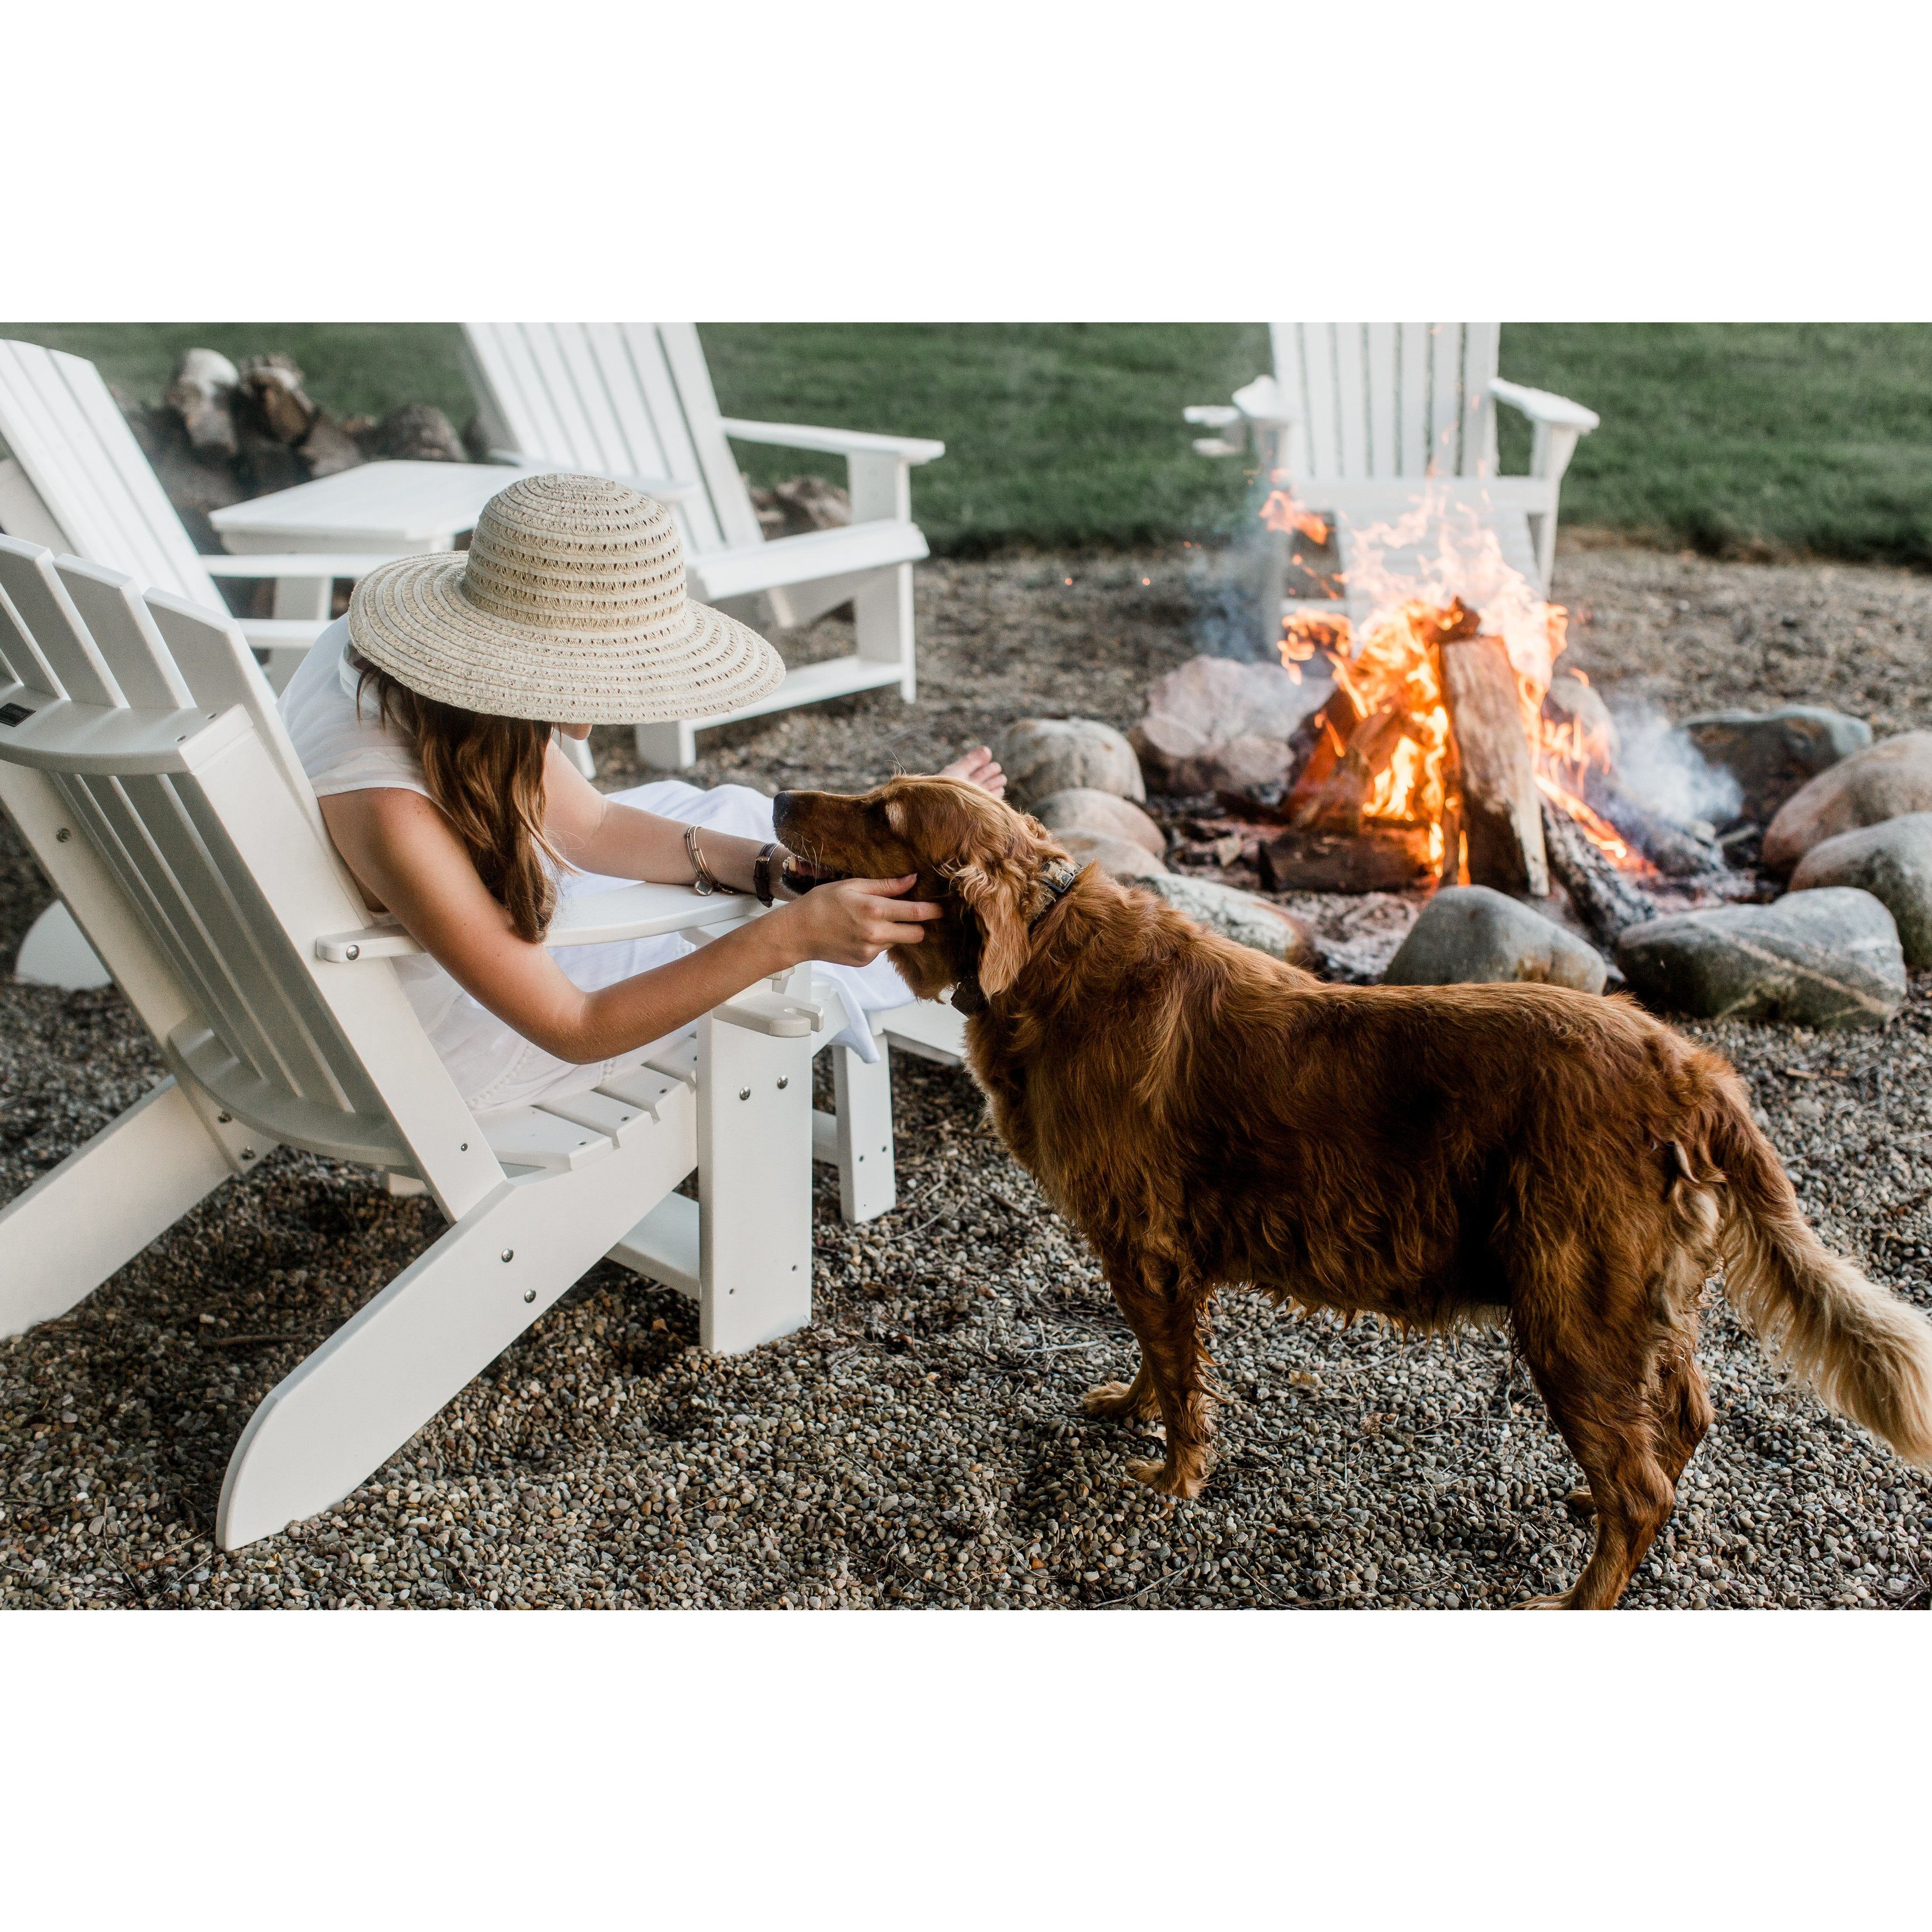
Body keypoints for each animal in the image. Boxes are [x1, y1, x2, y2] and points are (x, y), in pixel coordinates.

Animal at [777, 777, 1932, 1607]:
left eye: (883, 814)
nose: (782, 794)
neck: (1048, 955)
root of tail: (1690, 1065)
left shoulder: (1148, 1245)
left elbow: (1181, 1381)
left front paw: (1174, 1480)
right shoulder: (1140, 1253)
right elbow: (1153, 1359)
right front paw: (1133, 1410)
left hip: (1568, 1308)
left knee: (1642, 1485)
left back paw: (1578, 1598)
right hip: (1637, 1297)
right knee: (1681, 1419)